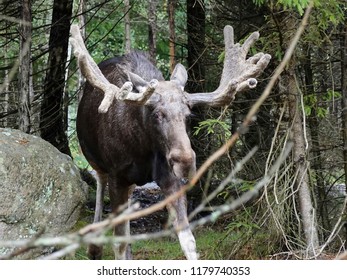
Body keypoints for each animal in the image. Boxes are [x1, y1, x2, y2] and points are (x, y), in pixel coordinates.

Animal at [70, 24, 272, 260]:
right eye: (157, 114)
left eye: (188, 115)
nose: (185, 161)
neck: (140, 149)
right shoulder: (117, 176)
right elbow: (118, 243)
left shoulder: (170, 177)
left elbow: (188, 239)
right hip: (95, 161)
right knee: (100, 188)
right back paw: (94, 246)